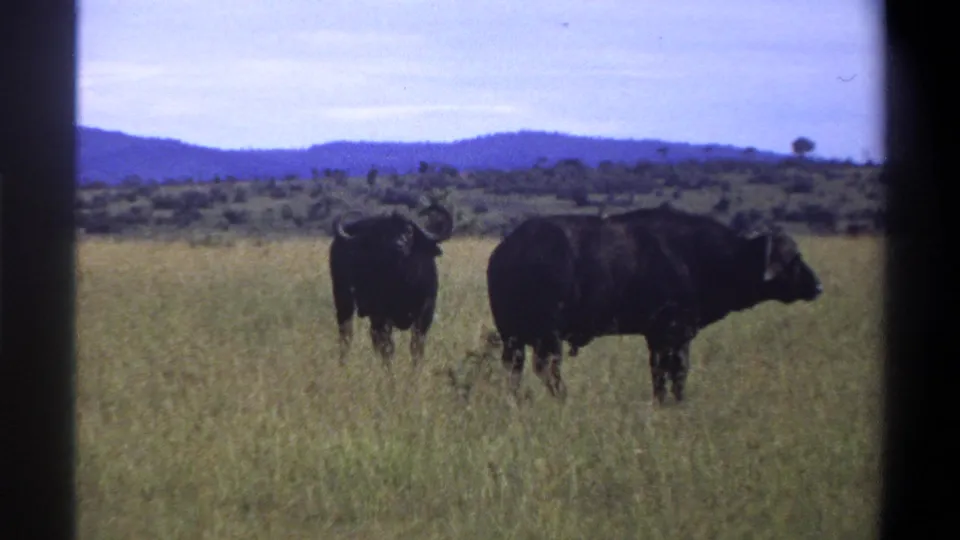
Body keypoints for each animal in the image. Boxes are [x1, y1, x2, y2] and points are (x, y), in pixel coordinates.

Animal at [329, 202, 454, 367]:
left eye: (409, 230)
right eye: (384, 233)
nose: (397, 246)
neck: (403, 282)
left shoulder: (426, 312)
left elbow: (417, 346)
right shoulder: (382, 316)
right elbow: (388, 348)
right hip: (343, 299)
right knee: (346, 333)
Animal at [485, 205, 823, 404]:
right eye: (793, 259)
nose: (817, 286)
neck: (702, 258)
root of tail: (507, 250)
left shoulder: (658, 338)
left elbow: (659, 375)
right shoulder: (673, 334)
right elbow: (677, 372)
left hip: (512, 337)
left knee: (515, 369)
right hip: (548, 336)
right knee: (548, 369)